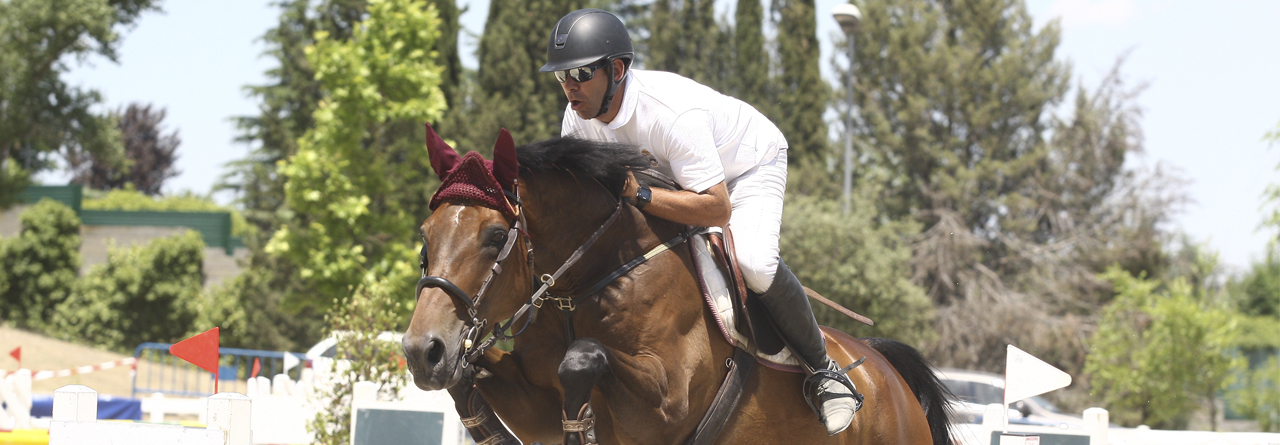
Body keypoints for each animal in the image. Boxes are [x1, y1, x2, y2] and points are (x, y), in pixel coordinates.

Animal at [404, 126, 957, 442]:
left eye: (497, 236)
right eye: (425, 236)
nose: (421, 351)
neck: (586, 283)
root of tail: (887, 371)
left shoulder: (666, 407)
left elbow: (583, 356)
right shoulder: (535, 405)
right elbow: (474, 382)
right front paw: (461, 377)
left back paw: (832, 392)